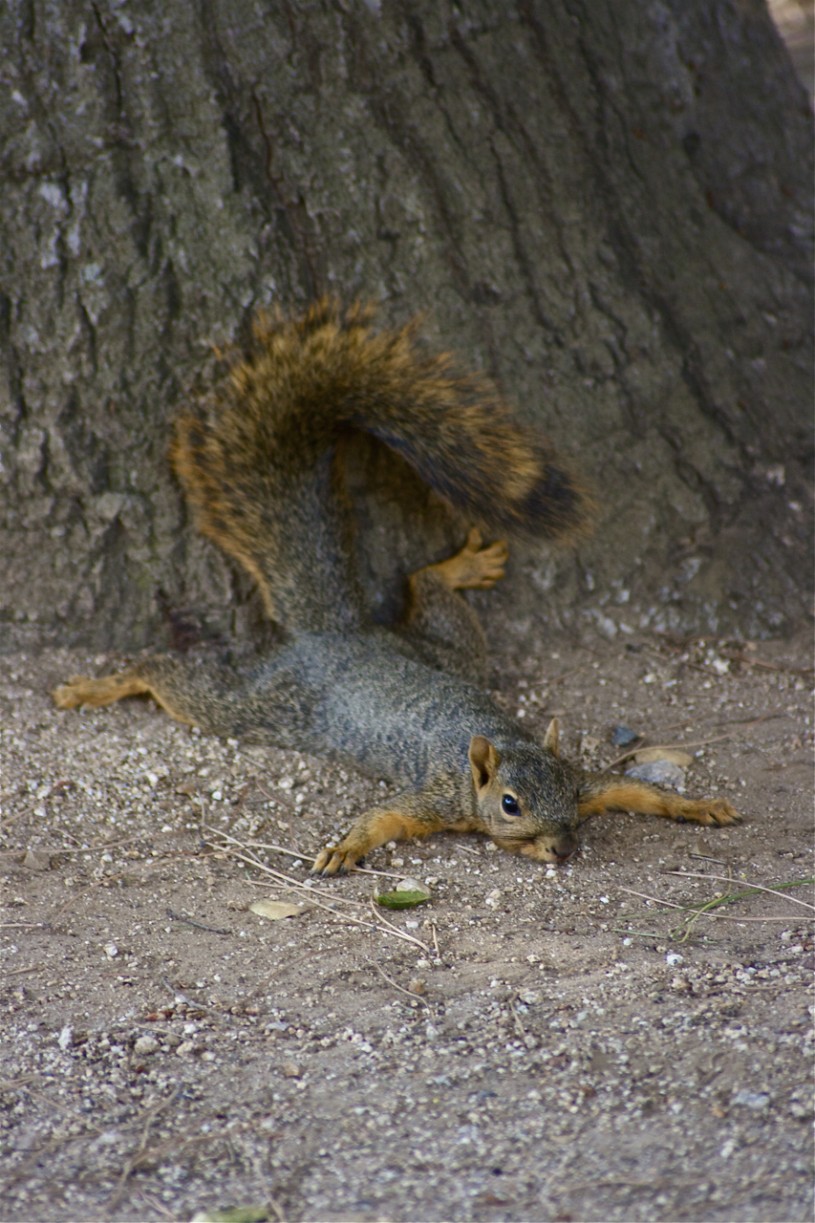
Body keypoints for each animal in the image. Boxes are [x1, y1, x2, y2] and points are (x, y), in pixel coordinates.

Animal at [50, 300, 734, 875]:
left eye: (566, 786)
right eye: (510, 804)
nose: (563, 848)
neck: (493, 751)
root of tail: (339, 633)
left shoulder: (590, 783)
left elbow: (632, 787)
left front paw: (697, 806)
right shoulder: (435, 796)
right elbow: (385, 817)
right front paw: (345, 847)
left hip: (450, 649)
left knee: (421, 583)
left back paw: (463, 566)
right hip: (261, 705)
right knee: (170, 678)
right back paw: (96, 686)